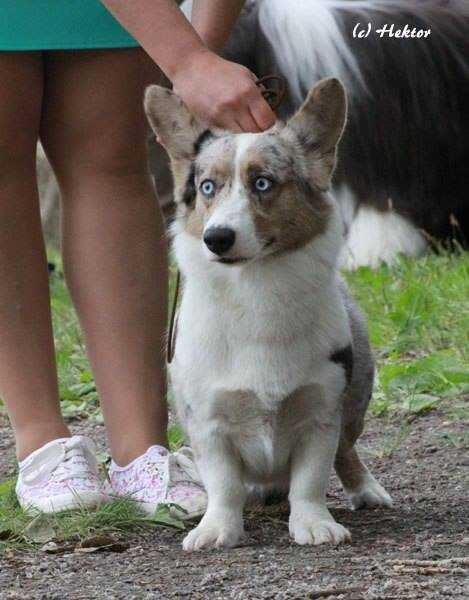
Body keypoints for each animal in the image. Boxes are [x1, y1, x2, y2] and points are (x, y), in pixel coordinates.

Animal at [144, 77, 392, 552]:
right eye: (208, 187)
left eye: (262, 183)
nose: (217, 238)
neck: (255, 293)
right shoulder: (209, 424)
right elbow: (224, 484)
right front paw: (218, 530)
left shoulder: (320, 413)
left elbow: (310, 480)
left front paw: (314, 525)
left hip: (354, 402)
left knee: (347, 451)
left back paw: (366, 490)